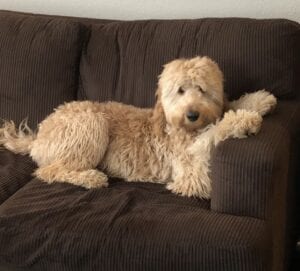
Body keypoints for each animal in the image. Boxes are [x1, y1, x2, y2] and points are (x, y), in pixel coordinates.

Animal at [0, 56, 276, 199]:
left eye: (202, 89)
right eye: (180, 90)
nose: (192, 114)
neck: (175, 125)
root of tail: (38, 136)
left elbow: (229, 108)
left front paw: (260, 100)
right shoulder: (191, 177)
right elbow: (213, 133)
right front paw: (244, 121)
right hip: (90, 123)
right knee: (50, 171)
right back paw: (90, 177)